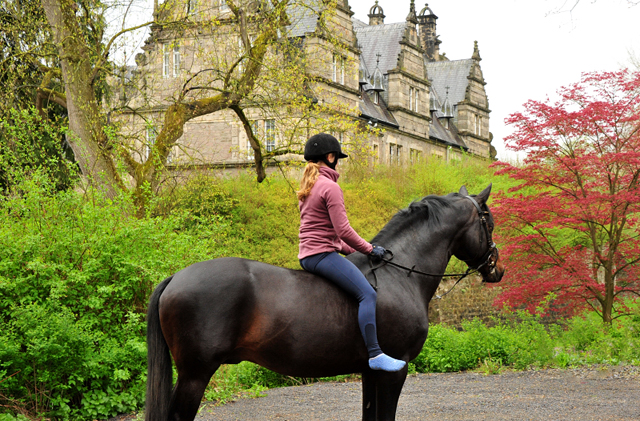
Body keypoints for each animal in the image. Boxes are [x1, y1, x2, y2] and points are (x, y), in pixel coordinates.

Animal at [145, 184, 504, 420]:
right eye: (489, 222)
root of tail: (176, 277)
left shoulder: (370, 373)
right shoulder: (394, 370)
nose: (497, 269)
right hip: (195, 375)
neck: (400, 273)